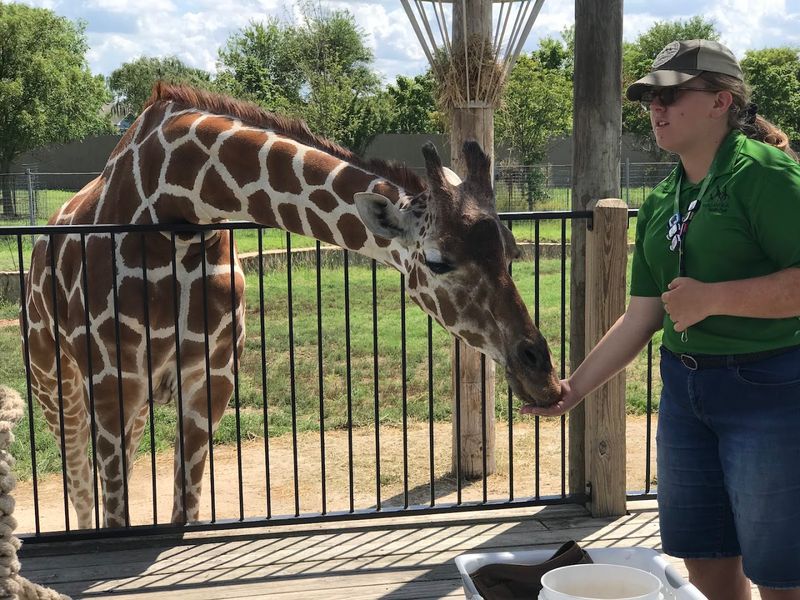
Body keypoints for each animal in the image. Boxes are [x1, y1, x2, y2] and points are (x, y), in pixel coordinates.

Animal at [22, 83, 561, 529]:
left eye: (512, 251)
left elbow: (184, 512)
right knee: (79, 482)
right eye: (437, 261)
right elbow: (114, 513)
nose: (544, 375)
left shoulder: (209, 384)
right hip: (55, 380)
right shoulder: (111, 385)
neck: (175, 207)